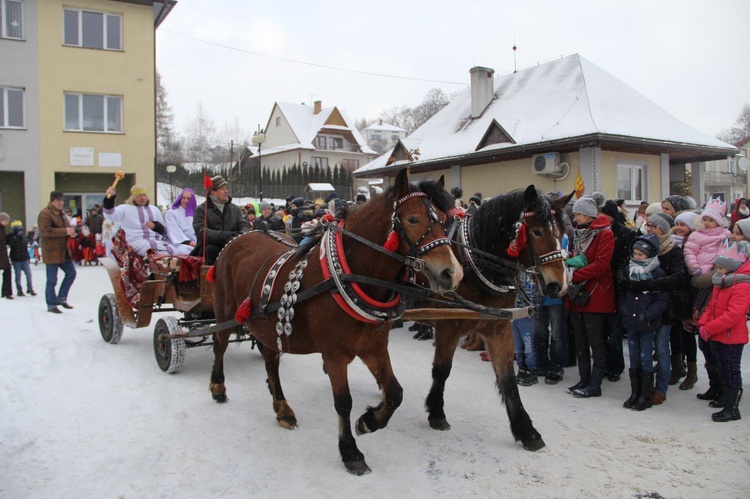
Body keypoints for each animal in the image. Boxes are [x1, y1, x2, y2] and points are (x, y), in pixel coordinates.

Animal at [212, 169, 464, 476]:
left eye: (444, 218)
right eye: (413, 219)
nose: (452, 273)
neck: (350, 276)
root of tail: (240, 237)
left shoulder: (373, 347)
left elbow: (395, 393)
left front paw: (369, 421)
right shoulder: (334, 354)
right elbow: (343, 402)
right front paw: (351, 452)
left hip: (268, 326)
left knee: (271, 362)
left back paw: (282, 408)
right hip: (225, 310)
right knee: (220, 344)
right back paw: (218, 387)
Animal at [420, 188, 572, 454]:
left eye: (561, 233)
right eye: (537, 231)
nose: (559, 285)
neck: (472, 259)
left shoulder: (499, 327)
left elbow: (508, 380)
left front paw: (526, 430)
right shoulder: (449, 325)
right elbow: (441, 370)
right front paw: (437, 412)